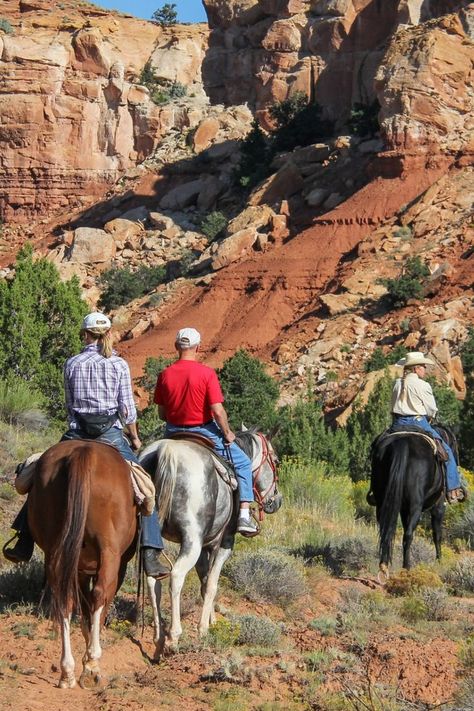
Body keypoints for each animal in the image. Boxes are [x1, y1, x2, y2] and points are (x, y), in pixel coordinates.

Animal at [28, 442, 137, 688]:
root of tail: (83, 451)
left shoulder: (79, 568)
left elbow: (83, 605)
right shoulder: (117, 566)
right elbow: (99, 604)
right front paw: (89, 659)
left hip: (56, 550)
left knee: (64, 599)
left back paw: (66, 672)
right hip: (109, 551)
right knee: (99, 594)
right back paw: (92, 666)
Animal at [141, 428, 282, 656]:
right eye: (276, 461)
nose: (277, 501)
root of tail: (167, 450)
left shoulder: (205, 548)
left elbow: (204, 582)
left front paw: (212, 621)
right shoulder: (224, 543)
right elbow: (212, 585)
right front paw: (204, 629)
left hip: (153, 538)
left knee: (153, 579)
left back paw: (159, 638)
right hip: (192, 541)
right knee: (176, 576)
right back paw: (173, 637)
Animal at [370, 428, 456, 572]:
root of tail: (402, 444)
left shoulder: (404, 510)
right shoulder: (438, 507)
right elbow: (437, 534)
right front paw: (439, 560)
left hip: (383, 502)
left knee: (385, 530)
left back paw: (384, 564)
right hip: (415, 507)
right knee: (408, 534)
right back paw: (407, 567)